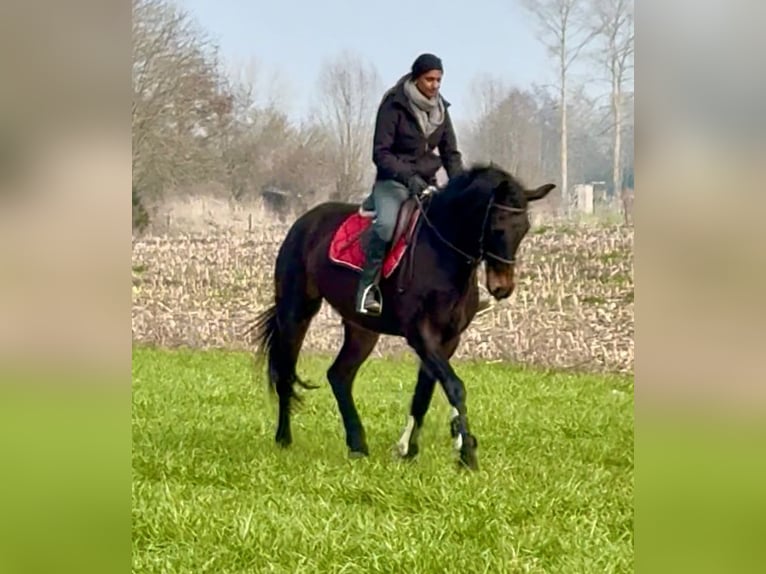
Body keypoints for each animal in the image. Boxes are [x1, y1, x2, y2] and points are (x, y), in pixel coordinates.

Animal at [250, 164, 555, 470]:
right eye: (497, 227)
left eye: (524, 229)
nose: (502, 287)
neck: (441, 253)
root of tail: (303, 222)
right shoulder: (421, 334)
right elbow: (454, 387)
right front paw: (467, 453)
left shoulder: (448, 339)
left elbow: (424, 393)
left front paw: (408, 449)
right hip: (296, 312)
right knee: (285, 373)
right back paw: (284, 439)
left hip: (362, 329)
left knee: (339, 375)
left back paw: (358, 445)